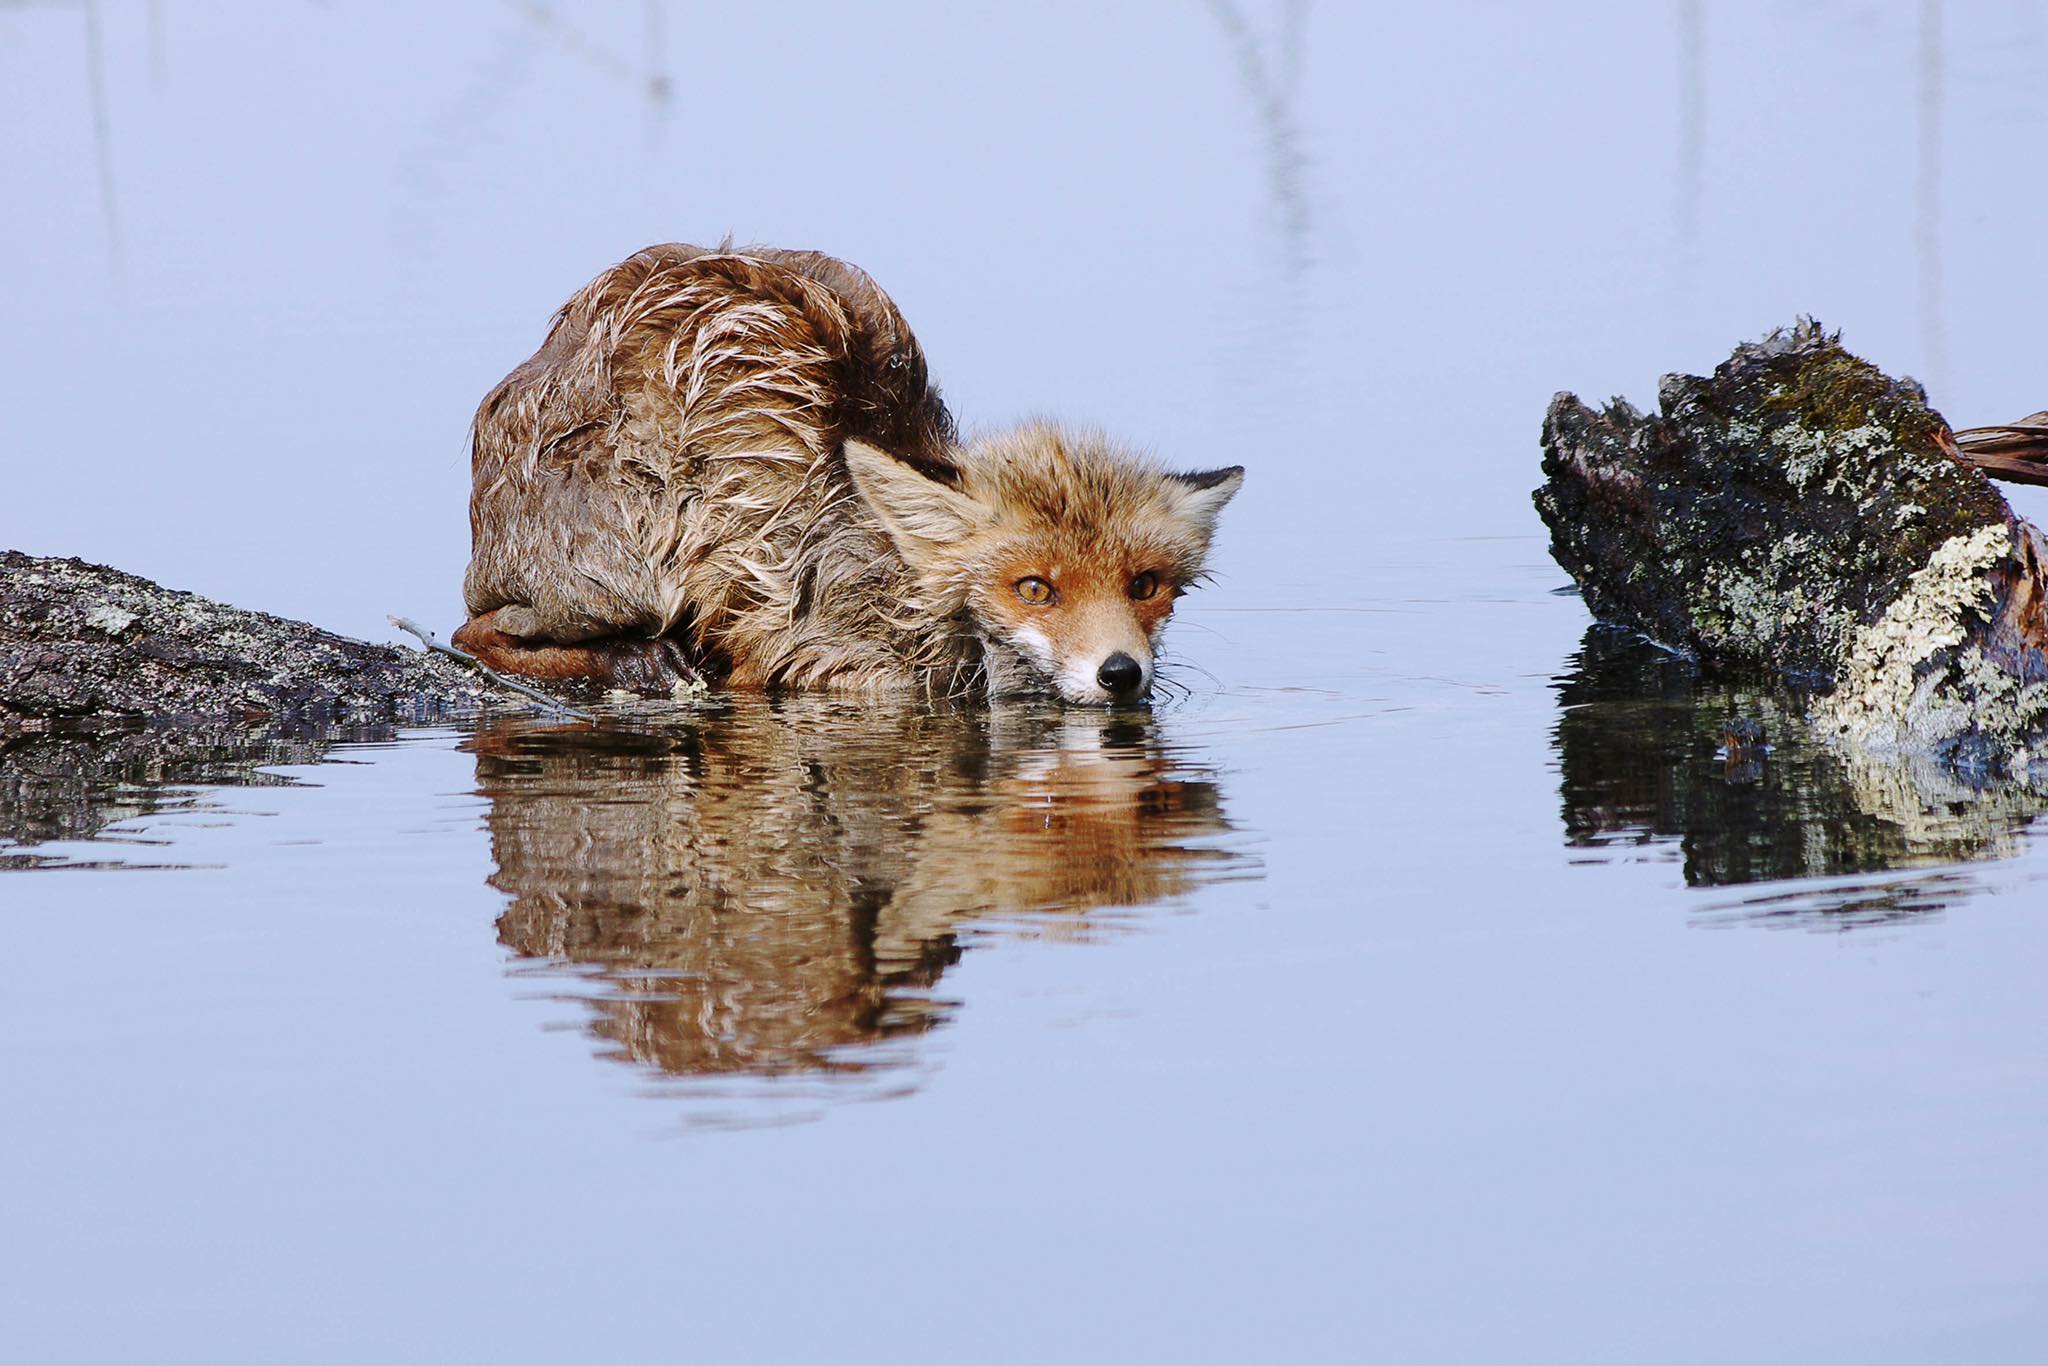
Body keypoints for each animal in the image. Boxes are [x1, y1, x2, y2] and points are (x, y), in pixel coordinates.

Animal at [454, 241, 1236, 704]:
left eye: (1145, 586)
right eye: (1035, 588)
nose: (1122, 674)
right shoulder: (796, 645)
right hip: (623, 572)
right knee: (479, 635)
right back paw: (640, 662)